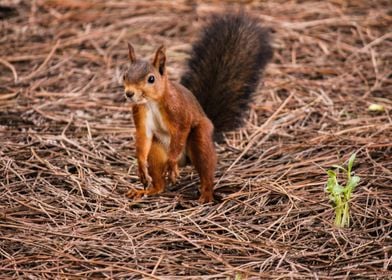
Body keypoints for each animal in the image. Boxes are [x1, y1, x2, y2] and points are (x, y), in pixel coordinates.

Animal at [122, 12, 272, 203]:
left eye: (151, 79)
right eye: (125, 75)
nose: (129, 94)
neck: (151, 102)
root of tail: (185, 161)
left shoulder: (179, 111)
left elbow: (181, 130)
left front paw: (171, 163)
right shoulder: (140, 113)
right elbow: (143, 137)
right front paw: (141, 167)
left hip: (200, 138)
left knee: (206, 170)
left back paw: (205, 194)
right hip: (156, 150)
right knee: (160, 183)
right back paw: (148, 190)